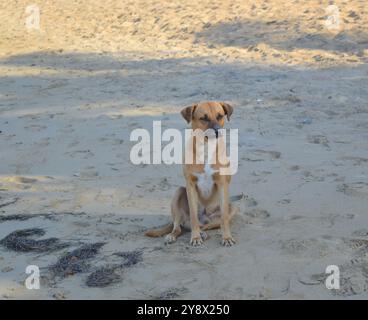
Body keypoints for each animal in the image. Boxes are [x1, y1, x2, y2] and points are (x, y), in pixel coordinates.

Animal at [145, 101, 237, 246]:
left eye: (220, 116)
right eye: (203, 118)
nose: (217, 132)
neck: (206, 148)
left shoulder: (222, 184)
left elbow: (224, 218)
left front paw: (227, 237)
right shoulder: (190, 185)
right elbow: (193, 216)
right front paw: (195, 237)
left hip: (232, 207)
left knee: (208, 224)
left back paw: (204, 232)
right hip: (178, 192)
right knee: (179, 226)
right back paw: (175, 235)